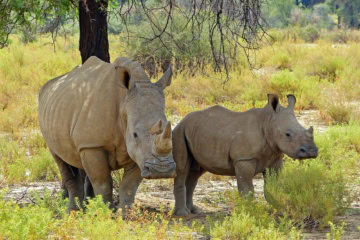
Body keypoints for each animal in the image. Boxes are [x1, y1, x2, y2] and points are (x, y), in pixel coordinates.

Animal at [173, 94, 316, 217]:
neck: (268, 122)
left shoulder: (275, 158)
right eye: (287, 134)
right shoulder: (244, 159)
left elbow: (272, 187)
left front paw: (279, 209)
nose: (312, 151)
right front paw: (250, 211)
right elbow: (247, 189)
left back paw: (194, 210)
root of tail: (183, 120)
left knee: (195, 173)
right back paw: (183, 213)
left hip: (196, 133)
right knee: (182, 168)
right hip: (179, 131)